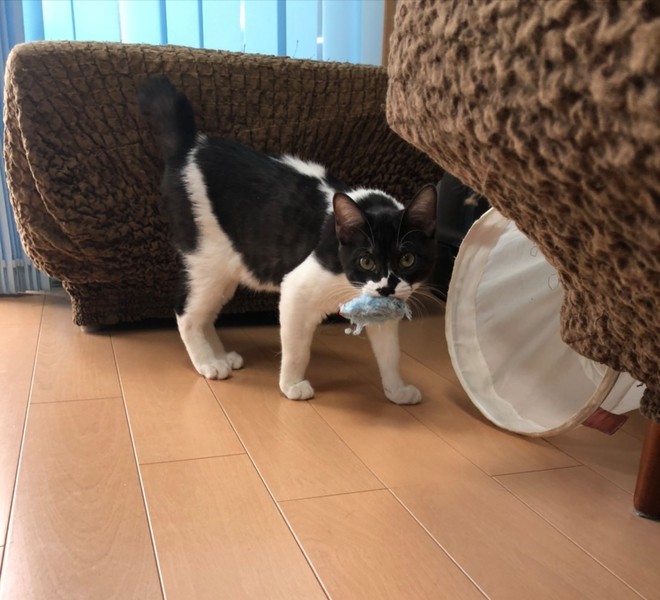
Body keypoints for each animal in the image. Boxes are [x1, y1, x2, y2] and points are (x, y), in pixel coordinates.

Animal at [137, 75, 437, 405]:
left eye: (407, 258)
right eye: (366, 260)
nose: (386, 288)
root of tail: (190, 146)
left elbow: (390, 354)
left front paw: (396, 390)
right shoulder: (296, 290)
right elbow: (297, 350)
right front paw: (292, 385)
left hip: (226, 272)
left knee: (204, 315)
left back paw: (220, 356)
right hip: (207, 262)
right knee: (186, 312)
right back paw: (207, 363)